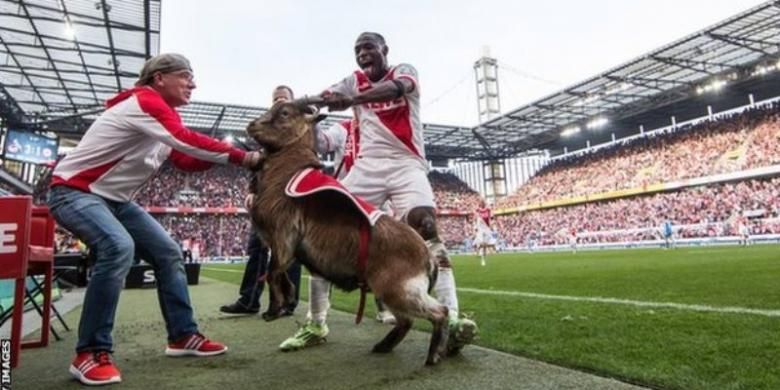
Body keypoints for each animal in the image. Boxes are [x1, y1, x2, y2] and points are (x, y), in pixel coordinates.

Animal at [247, 100, 448, 366]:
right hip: (394, 291)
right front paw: (287, 300)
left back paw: (434, 354)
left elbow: (272, 274)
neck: (287, 175)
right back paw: (383, 346)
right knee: (407, 321)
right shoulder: (283, 247)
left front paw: (272, 311)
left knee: (439, 312)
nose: (251, 125)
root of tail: (428, 257)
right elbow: (280, 274)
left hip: (400, 290)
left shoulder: (283, 237)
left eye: (284, 113)